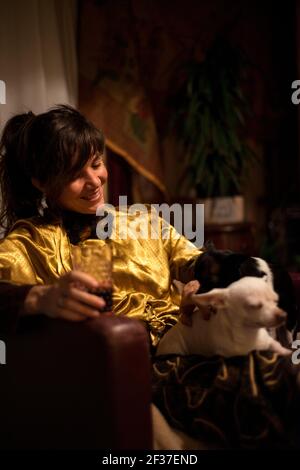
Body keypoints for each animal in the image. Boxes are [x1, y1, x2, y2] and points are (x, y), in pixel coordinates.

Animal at [157, 276, 290, 356]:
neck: (249, 335)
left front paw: (287, 352)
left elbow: (277, 345)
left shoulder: (267, 341)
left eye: (276, 300)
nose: (283, 315)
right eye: (254, 306)